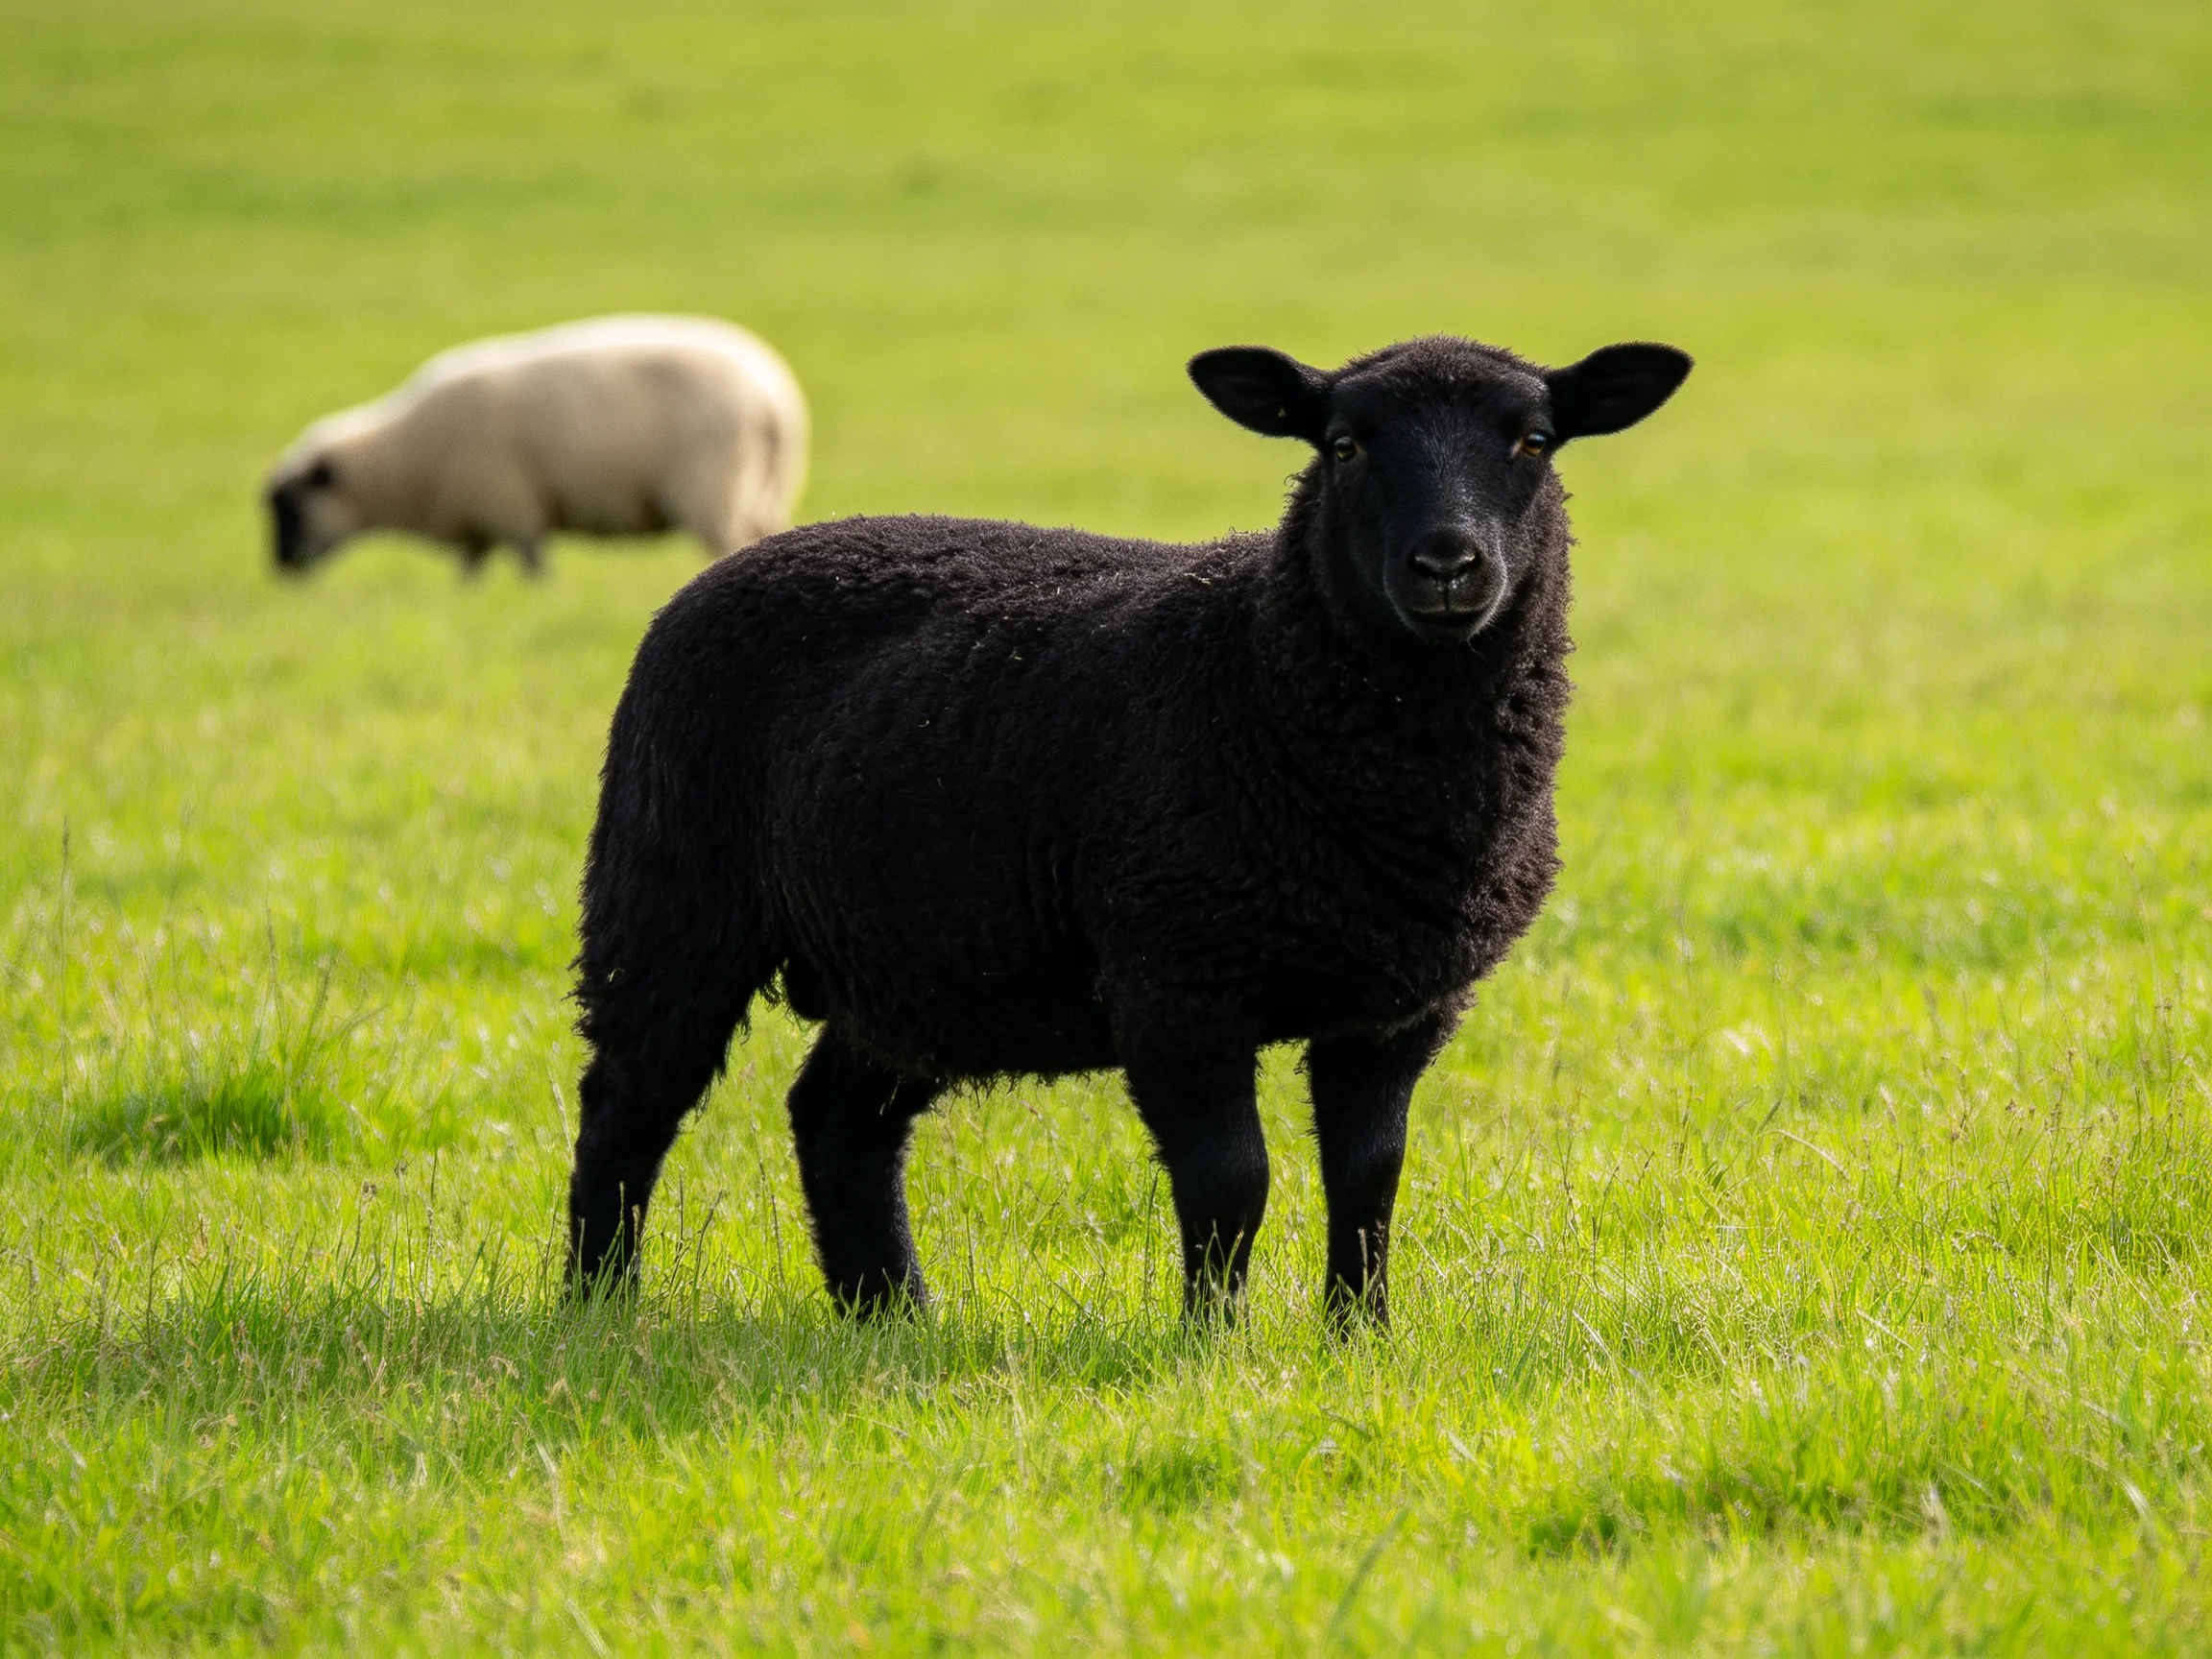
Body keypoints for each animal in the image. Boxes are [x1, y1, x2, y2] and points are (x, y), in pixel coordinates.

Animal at [263, 315, 808, 577]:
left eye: (291, 509)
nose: (282, 570)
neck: (404, 459)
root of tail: (773, 398)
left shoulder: (510, 505)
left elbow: (532, 566)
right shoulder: (480, 520)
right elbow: (470, 572)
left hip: (714, 488)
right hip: (764, 488)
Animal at [565, 332, 1690, 1325]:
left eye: (1534, 441)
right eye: (1343, 445)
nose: (1447, 566)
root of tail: (736, 564)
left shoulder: (1396, 1004)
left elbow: (1370, 1180)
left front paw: (1360, 1337)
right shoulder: (1175, 981)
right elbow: (1232, 1180)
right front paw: (1213, 1344)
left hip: (916, 958)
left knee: (838, 1121)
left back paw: (891, 1314)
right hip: (671, 898)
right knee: (627, 1104)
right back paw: (598, 1304)